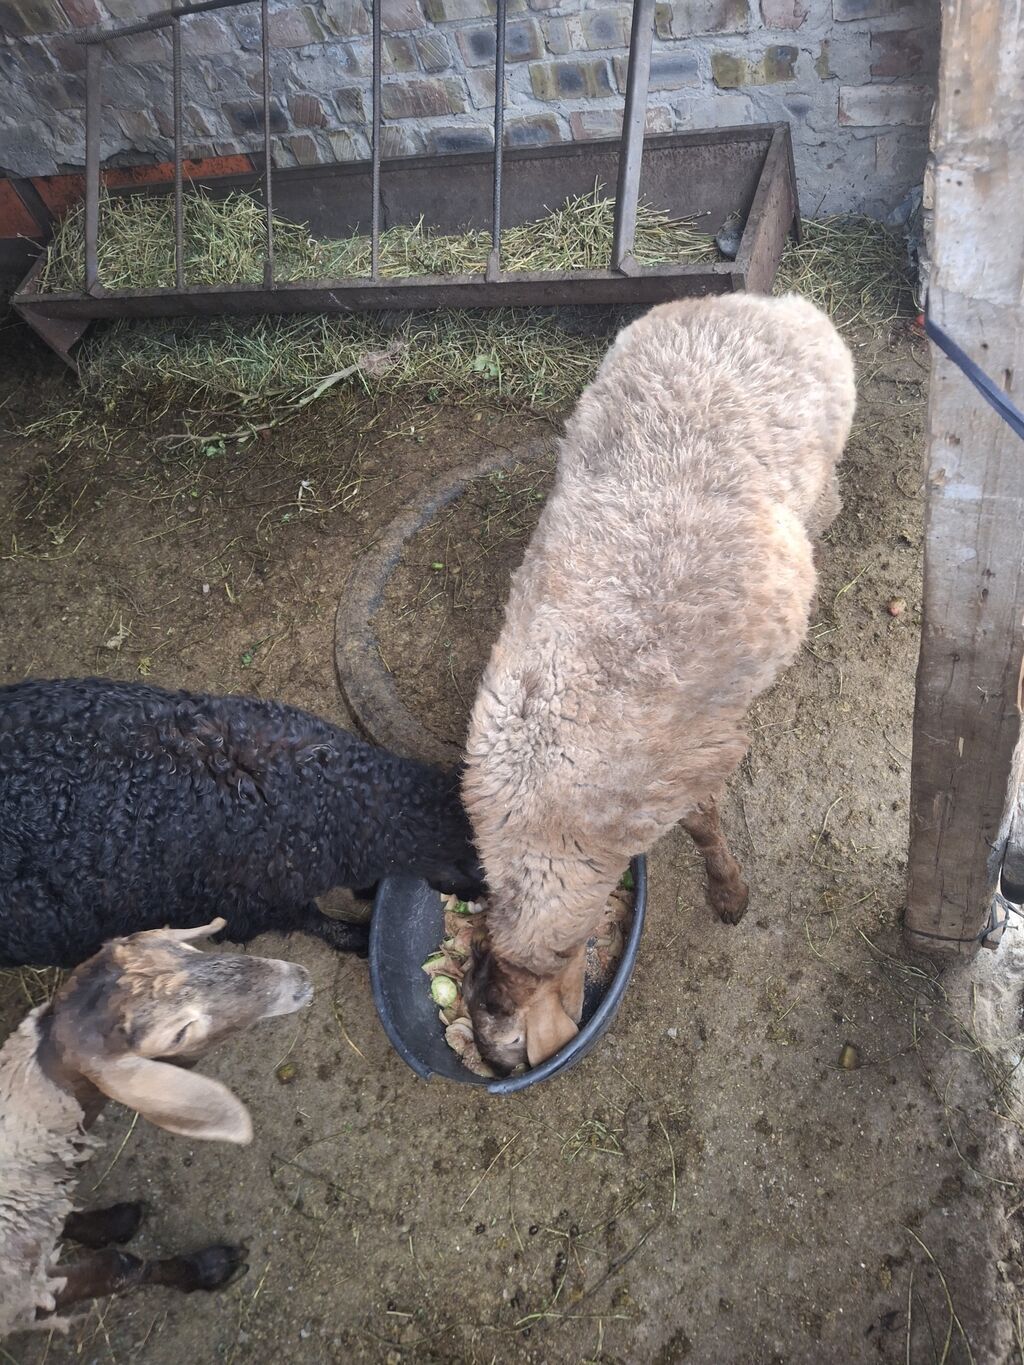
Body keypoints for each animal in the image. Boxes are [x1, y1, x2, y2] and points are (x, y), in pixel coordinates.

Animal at [0, 919, 312, 1339]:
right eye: (179, 1034)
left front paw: (111, 1223)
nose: (300, 979)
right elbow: (120, 1267)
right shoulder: (27, 1298)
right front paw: (207, 1268)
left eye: (188, 951)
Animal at [461, 293, 857, 1072]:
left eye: (506, 1038)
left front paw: (729, 892)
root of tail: (764, 301)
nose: (494, 1069)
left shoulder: (689, 762)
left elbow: (705, 827)